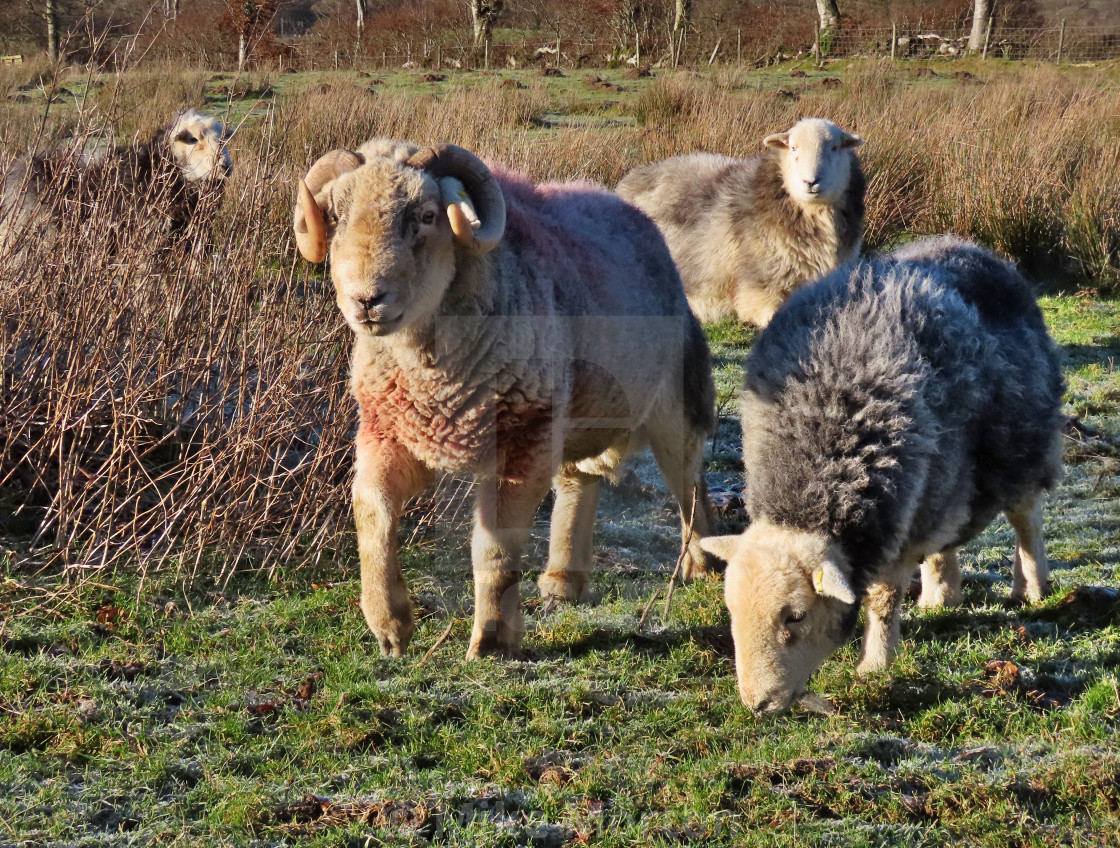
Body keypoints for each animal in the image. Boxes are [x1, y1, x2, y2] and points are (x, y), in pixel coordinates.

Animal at [295, 137, 716, 663]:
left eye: (427, 215)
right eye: (335, 215)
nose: (367, 301)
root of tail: (633, 214)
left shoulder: (519, 448)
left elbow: (494, 548)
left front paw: (492, 640)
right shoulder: (389, 434)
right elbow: (371, 512)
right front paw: (389, 624)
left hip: (673, 405)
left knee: (690, 483)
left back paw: (700, 561)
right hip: (571, 414)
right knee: (579, 483)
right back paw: (563, 579)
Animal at [698, 236, 1066, 712]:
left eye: (795, 616)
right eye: (731, 610)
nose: (756, 704)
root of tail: (968, 246)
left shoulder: (895, 519)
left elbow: (883, 597)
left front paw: (874, 666)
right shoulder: (908, 500)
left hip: (1022, 444)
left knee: (1027, 518)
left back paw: (1032, 588)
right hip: (941, 478)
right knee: (945, 537)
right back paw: (940, 597)